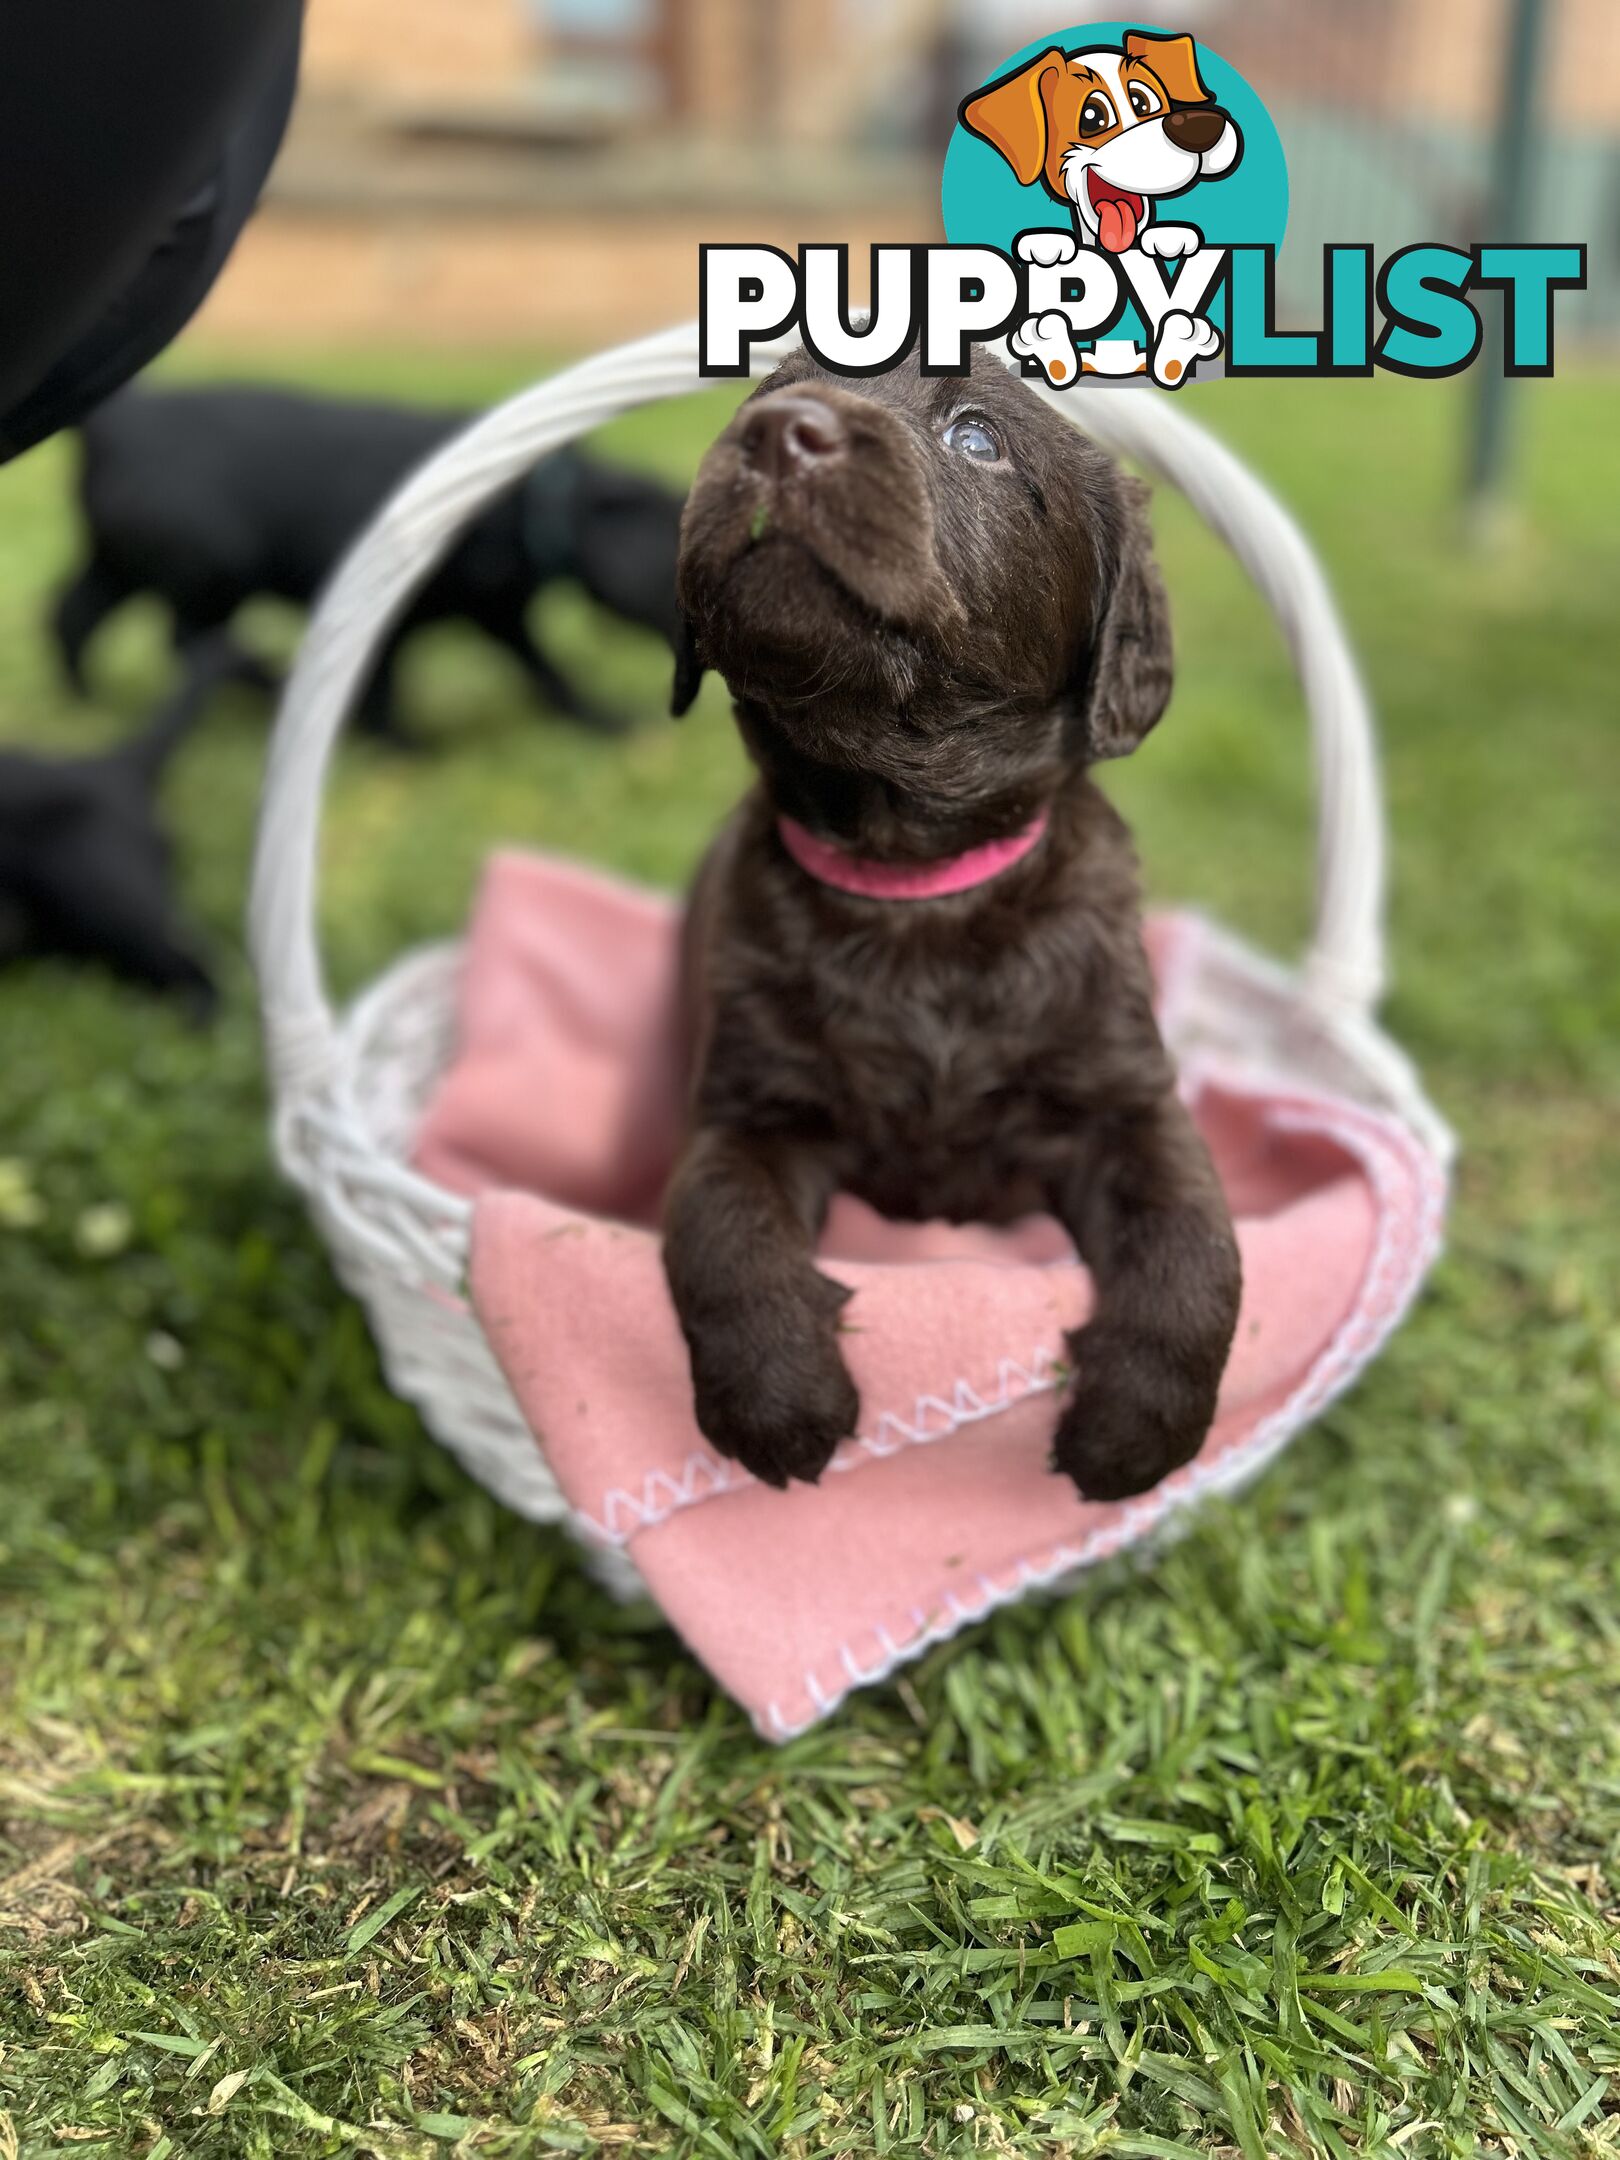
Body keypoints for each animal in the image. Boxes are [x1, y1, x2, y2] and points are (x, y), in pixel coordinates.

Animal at [54, 388, 686, 751]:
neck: (531, 506)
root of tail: (111, 421)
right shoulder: (393, 614)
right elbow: (384, 684)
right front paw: (401, 747)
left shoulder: (501, 615)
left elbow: (549, 675)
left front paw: (604, 723)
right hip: (212, 572)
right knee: (189, 642)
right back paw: (273, 683)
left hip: (118, 564)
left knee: (70, 616)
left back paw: (84, 703)